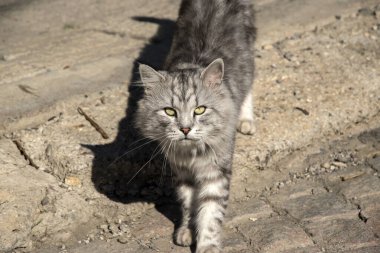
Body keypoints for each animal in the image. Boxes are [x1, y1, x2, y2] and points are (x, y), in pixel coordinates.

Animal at [135, 0, 256, 253]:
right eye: (170, 111)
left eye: (200, 110)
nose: (185, 129)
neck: (192, 154)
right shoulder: (182, 172)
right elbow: (189, 205)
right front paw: (186, 231)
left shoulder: (216, 172)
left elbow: (210, 213)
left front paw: (207, 246)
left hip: (249, 56)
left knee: (250, 84)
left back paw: (246, 120)